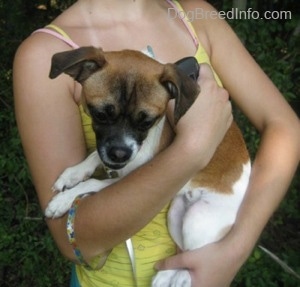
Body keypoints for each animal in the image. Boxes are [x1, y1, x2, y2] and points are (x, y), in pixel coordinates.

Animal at [45, 46, 251, 286]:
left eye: (147, 121)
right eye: (100, 114)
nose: (120, 153)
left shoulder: (131, 176)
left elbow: (93, 182)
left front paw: (64, 200)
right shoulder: (113, 156)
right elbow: (95, 157)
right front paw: (74, 174)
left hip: (197, 219)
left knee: (197, 258)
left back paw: (178, 278)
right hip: (176, 215)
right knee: (184, 252)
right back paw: (165, 276)